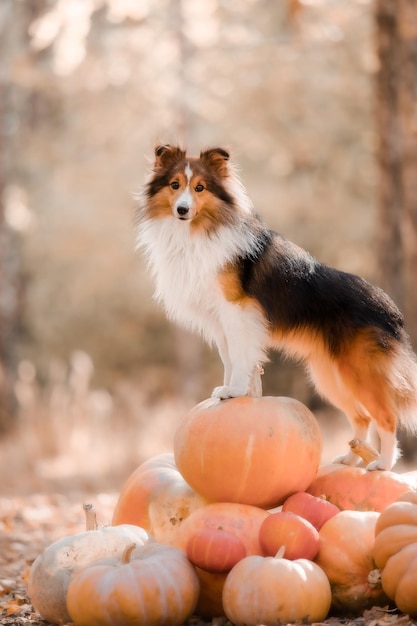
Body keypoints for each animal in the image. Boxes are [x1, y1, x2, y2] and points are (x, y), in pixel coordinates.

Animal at [136, 144, 416, 468]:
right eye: (174, 185)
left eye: (200, 188)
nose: (182, 210)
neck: (201, 230)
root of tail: (391, 311)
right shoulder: (220, 321)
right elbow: (230, 358)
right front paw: (232, 391)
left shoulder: (236, 311)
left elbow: (240, 357)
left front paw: (235, 391)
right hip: (331, 377)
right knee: (361, 416)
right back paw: (349, 459)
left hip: (360, 374)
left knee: (386, 416)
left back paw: (382, 464)